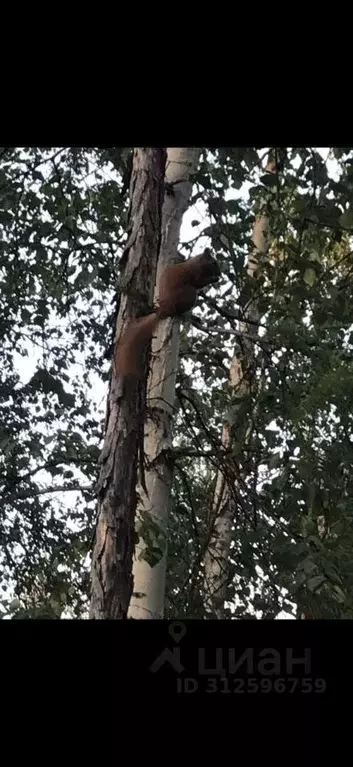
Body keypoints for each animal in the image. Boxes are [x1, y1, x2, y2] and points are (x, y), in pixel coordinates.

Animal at [115, 249, 220, 378]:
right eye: (214, 263)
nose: (220, 274)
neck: (196, 262)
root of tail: (163, 311)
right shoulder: (196, 273)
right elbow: (199, 283)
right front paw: (214, 279)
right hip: (189, 294)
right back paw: (189, 316)